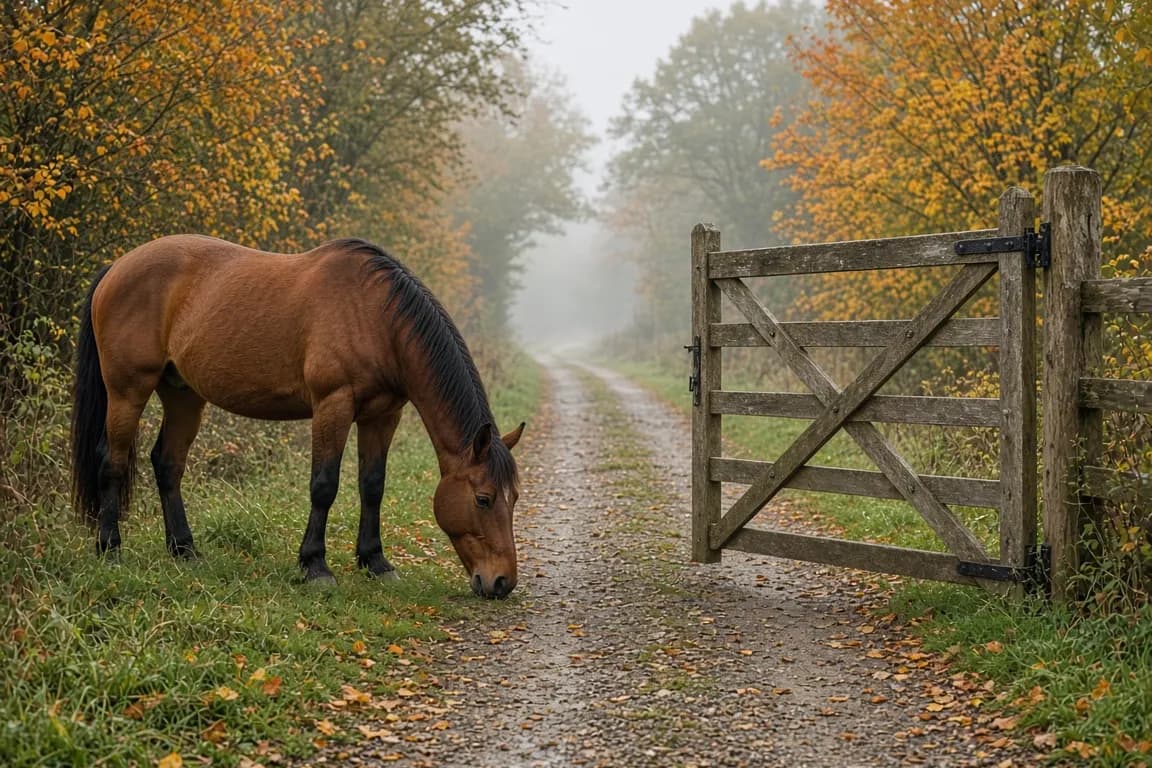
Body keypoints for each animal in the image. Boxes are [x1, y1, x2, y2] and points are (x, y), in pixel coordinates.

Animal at [70, 235, 524, 599]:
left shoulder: (382, 416)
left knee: (167, 464)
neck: (376, 317)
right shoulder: (332, 405)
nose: (502, 582)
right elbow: (324, 486)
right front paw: (315, 566)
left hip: (183, 394)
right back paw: (110, 549)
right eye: (483, 499)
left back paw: (185, 550)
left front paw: (375, 563)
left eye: (514, 498)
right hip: (127, 390)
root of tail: (116, 267)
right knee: (112, 461)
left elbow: (372, 486)